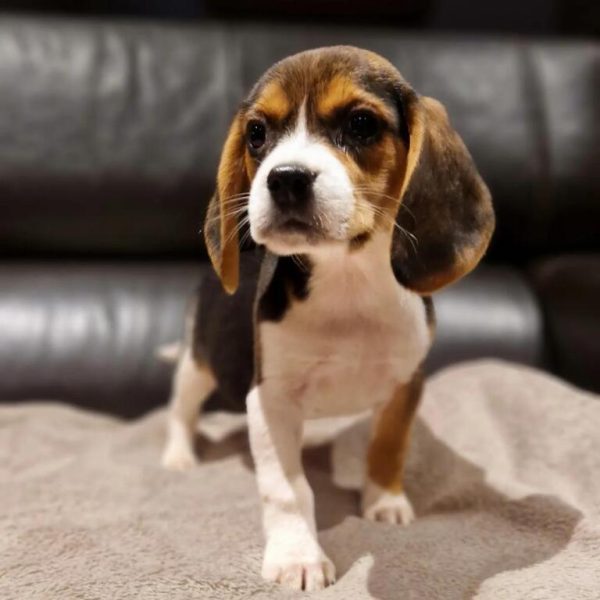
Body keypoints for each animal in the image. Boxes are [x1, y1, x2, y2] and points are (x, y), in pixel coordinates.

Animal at [161, 47, 492, 592]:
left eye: (361, 124)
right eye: (257, 133)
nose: (285, 177)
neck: (347, 284)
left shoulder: (406, 383)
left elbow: (389, 445)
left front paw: (385, 502)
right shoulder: (270, 400)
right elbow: (289, 489)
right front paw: (298, 556)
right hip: (198, 361)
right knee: (181, 410)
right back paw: (178, 455)